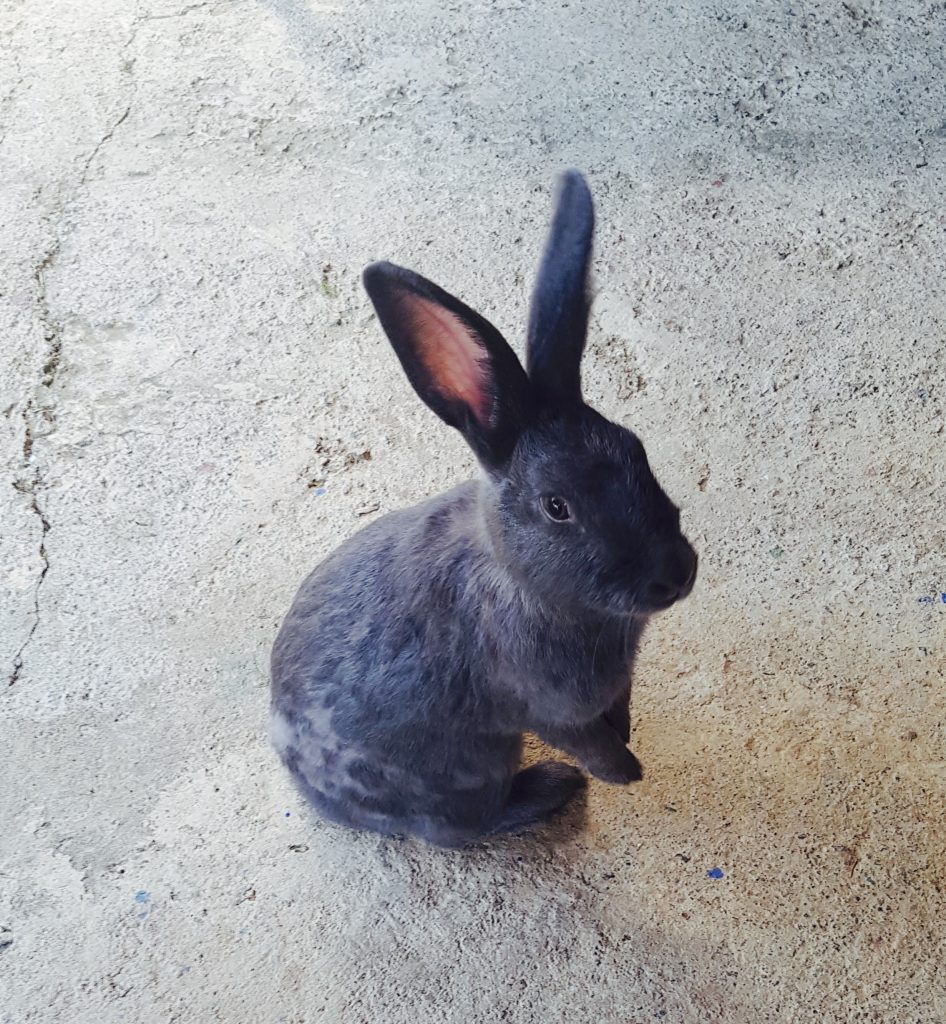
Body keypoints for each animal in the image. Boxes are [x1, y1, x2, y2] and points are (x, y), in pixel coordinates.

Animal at [270, 169, 700, 847]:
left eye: (638, 450)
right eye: (557, 506)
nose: (678, 573)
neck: (525, 581)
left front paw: (630, 736)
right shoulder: (552, 709)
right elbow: (594, 746)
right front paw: (628, 772)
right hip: (475, 764)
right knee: (463, 826)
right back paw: (553, 788)